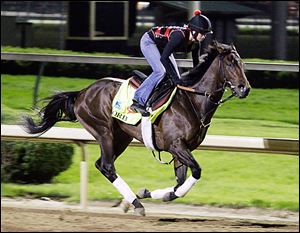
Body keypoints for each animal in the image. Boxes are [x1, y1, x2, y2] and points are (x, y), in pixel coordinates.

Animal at [22, 40, 251, 217]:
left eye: (242, 63)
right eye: (230, 63)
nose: (245, 88)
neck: (192, 102)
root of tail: (82, 92)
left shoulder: (182, 151)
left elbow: (179, 183)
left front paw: (152, 193)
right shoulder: (176, 146)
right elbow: (195, 172)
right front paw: (146, 197)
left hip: (122, 138)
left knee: (102, 164)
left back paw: (132, 200)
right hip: (104, 131)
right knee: (107, 166)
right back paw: (136, 205)